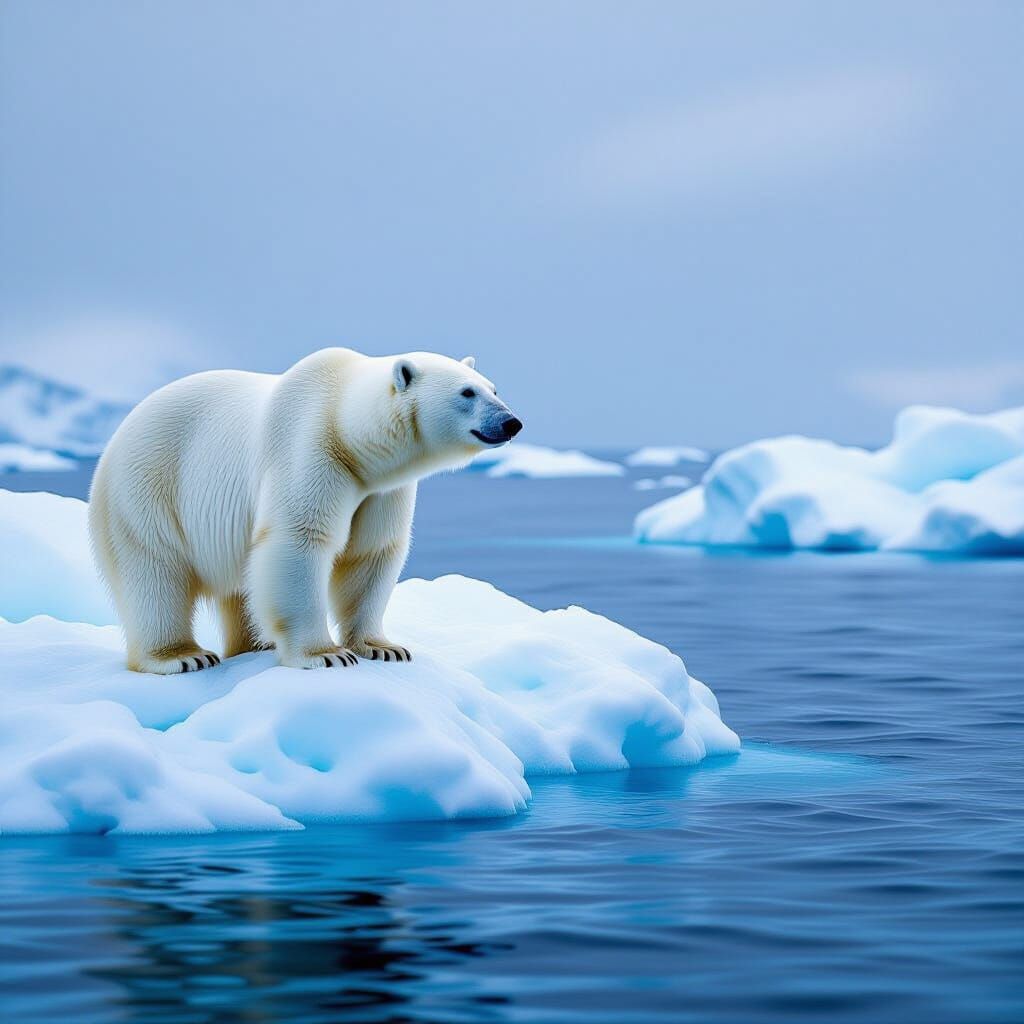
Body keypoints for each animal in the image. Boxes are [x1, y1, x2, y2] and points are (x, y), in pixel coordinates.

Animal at [88, 348, 522, 673]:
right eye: (467, 393)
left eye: (494, 388)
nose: (511, 422)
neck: (344, 423)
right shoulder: (310, 448)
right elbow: (298, 541)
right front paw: (326, 654)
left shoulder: (380, 489)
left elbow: (370, 553)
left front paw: (384, 647)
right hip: (148, 486)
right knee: (154, 572)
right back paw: (182, 656)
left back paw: (256, 645)